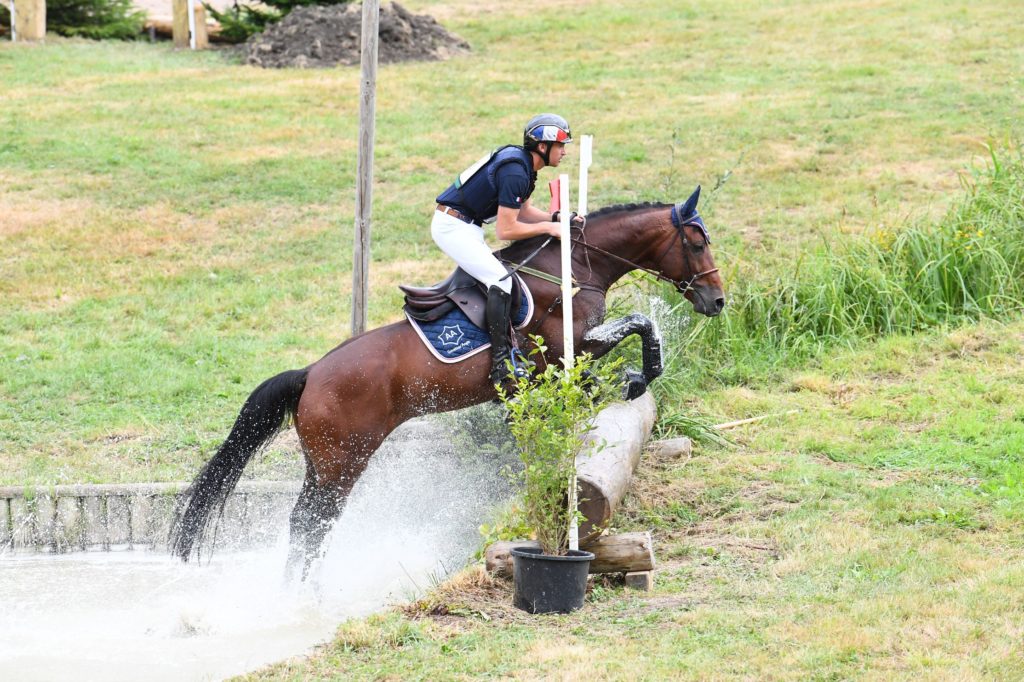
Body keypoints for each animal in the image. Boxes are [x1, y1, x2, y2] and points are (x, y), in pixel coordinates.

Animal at [167, 183, 724, 569]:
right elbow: (643, 323)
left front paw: (620, 384)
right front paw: (638, 377)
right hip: (342, 461)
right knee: (311, 522)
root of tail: (309, 374)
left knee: (310, 523)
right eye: (697, 244)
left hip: (323, 463)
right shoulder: (570, 346)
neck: (573, 266)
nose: (716, 302)